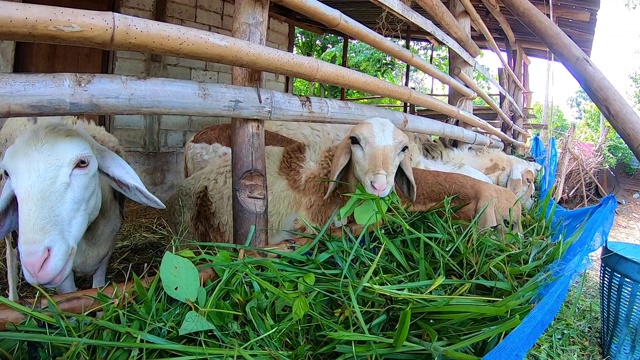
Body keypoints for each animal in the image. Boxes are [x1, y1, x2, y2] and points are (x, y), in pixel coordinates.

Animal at [0, 116, 165, 300]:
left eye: (82, 163)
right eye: (7, 173)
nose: (36, 264)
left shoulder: (105, 254)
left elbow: (99, 290)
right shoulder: (64, 276)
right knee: (11, 254)